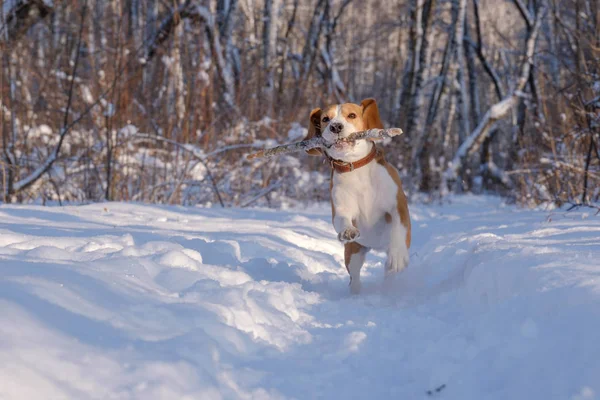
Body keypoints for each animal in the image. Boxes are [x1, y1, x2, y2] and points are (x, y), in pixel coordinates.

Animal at [304, 98, 408, 292]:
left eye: (352, 115)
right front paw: (347, 231)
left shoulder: (397, 205)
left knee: (389, 269)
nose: (335, 126)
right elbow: (342, 219)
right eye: (325, 119)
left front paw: (398, 255)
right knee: (355, 277)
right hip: (354, 254)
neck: (357, 168)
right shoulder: (340, 208)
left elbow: (399, 227)